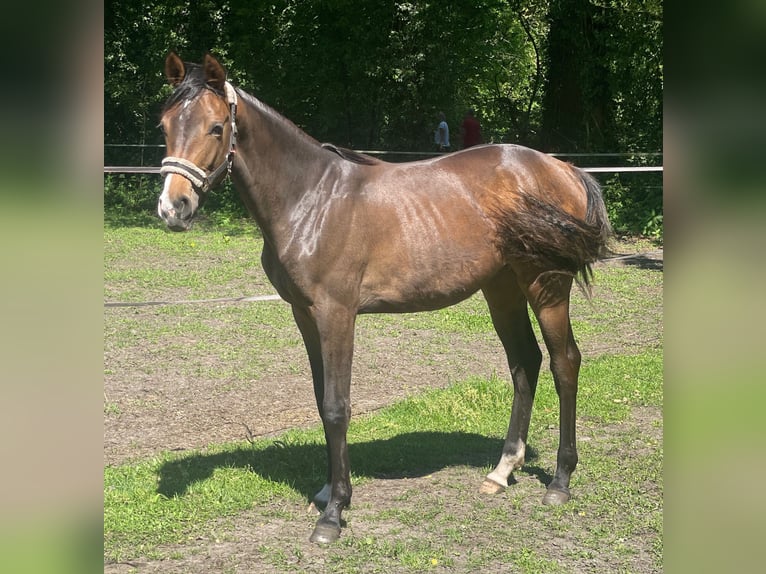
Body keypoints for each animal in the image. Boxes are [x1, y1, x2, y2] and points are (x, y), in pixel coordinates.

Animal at [156, 53, 612, 544]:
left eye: (216, 127)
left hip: (546, 286)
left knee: (564, 362)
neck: (311, 198)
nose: (173, 208)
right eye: (165, 124)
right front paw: (328, 491)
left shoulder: (336, 314)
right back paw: (502, 471)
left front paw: (334, 514)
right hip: (503, 288)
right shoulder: (304, 315)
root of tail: (561, 167)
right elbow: (321, 399)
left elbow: (337, 406)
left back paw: (560, 482)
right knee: (525, 362)